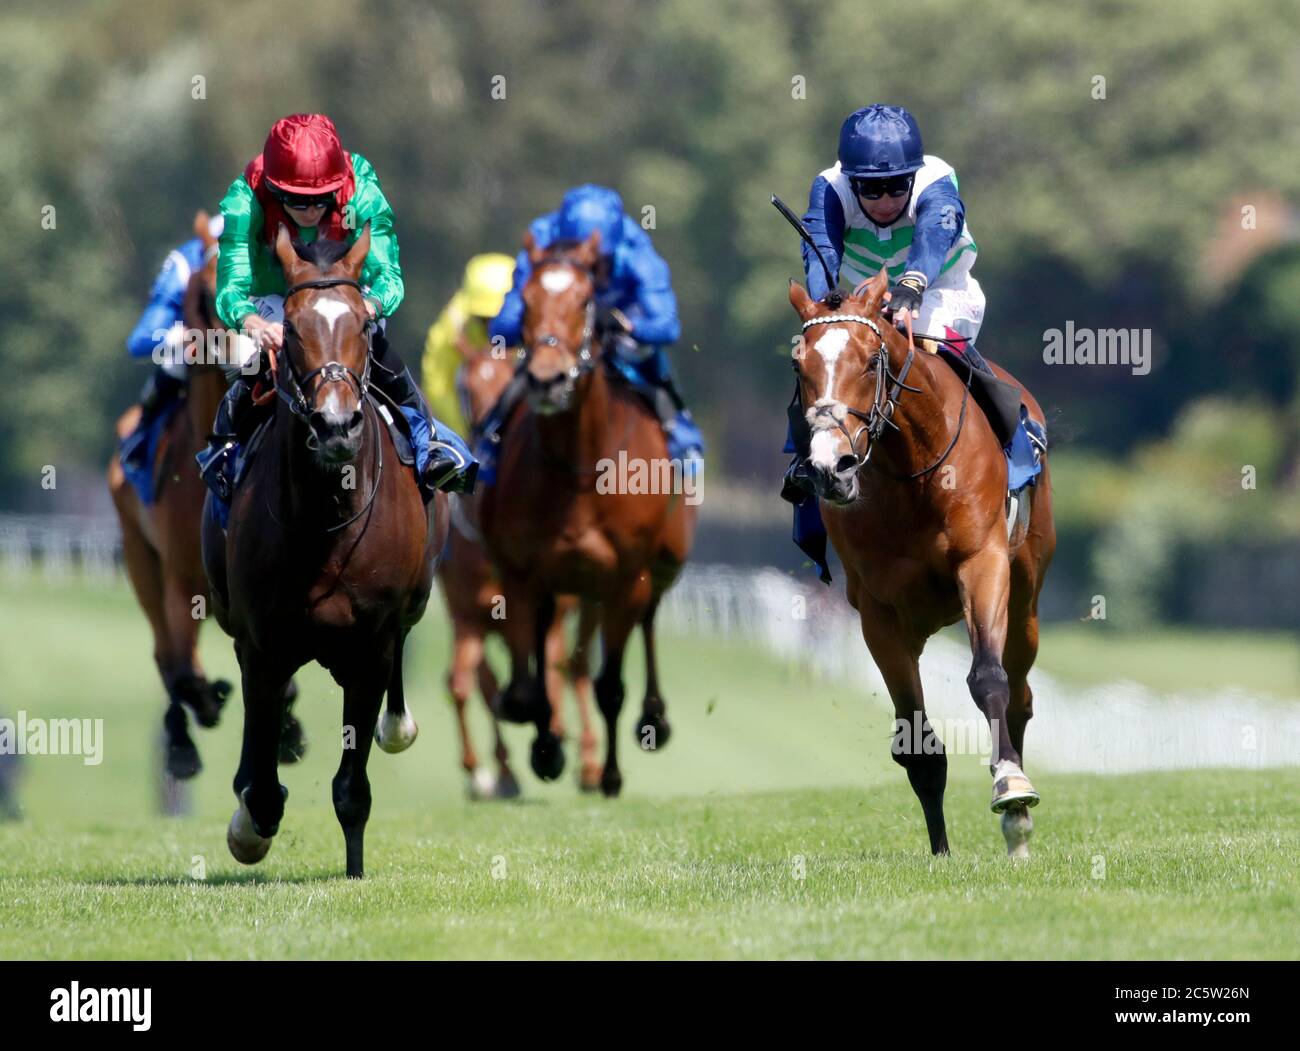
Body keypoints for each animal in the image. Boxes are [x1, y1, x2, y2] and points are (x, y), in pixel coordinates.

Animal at [201, 223, 447, 879]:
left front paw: (355, 869)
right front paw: (248, 828)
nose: (337, 427)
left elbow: (351, 786)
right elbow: (262, 782)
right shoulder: (263, 643)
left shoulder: (371, 647)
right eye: (290, 329)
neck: (326, 520)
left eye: (363, 324)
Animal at [436, 345, 598, 796]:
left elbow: (555, 672)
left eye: (511, 375)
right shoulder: (467, 617)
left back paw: (589, 762)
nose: (490, 433)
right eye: (463, 386)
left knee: (574, 669)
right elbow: (462, 684)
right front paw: (485, 772)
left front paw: (555, 743)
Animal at [480, 231, 702, 796]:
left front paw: (610, 775)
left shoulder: (626, 577)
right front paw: (545, 746)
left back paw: (652, 717)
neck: (582, 465)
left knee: (647, 622)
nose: (547, 379)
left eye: (584, 301)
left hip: (659, 565)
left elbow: (610, 686)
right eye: (527, 300)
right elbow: (529, 680)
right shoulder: (523, 573)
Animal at [780, 269, 1055, 853]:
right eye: (799, 366)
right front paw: (941, 850)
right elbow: (915, 742)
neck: (912, 472)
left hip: (1025, 599)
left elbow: (988, 678)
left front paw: (1012, 791)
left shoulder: (982, 563)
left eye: (871, 359)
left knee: (1019, 694)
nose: (830, 468)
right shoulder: (879, 611)